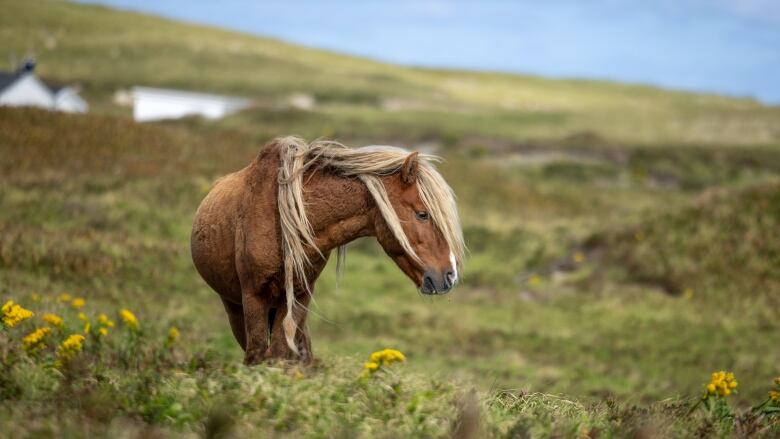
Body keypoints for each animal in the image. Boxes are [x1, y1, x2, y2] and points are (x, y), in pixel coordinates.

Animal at [193, 138, 466, 364]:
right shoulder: (254, 296)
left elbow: (280, 354)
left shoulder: (299, 296)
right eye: (422, 214)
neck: (284, 218)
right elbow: (258, 356)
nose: (450, 275)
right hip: (234, 305)